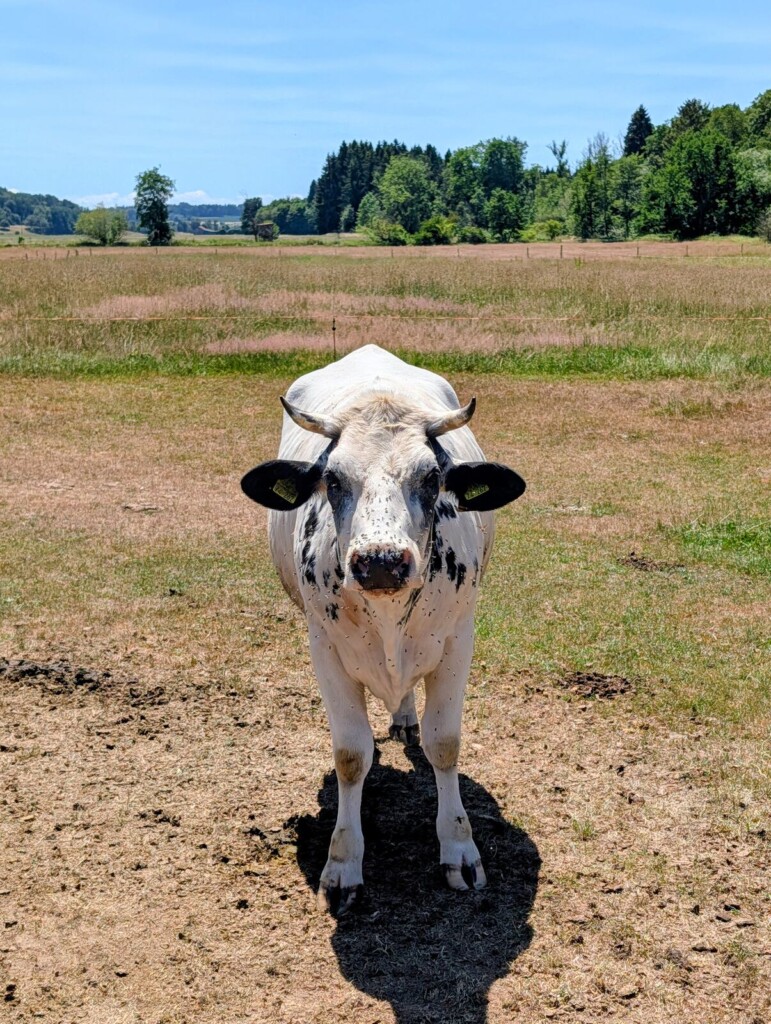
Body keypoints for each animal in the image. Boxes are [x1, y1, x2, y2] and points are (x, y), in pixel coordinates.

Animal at [241, 344, 525, 914]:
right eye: (332, 480)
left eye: (432, 478)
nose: (381, 562)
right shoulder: (324, 648)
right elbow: (351, 756)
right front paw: (343, 863)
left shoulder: (458, 640)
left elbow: (445, 744)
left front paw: (458, 847)